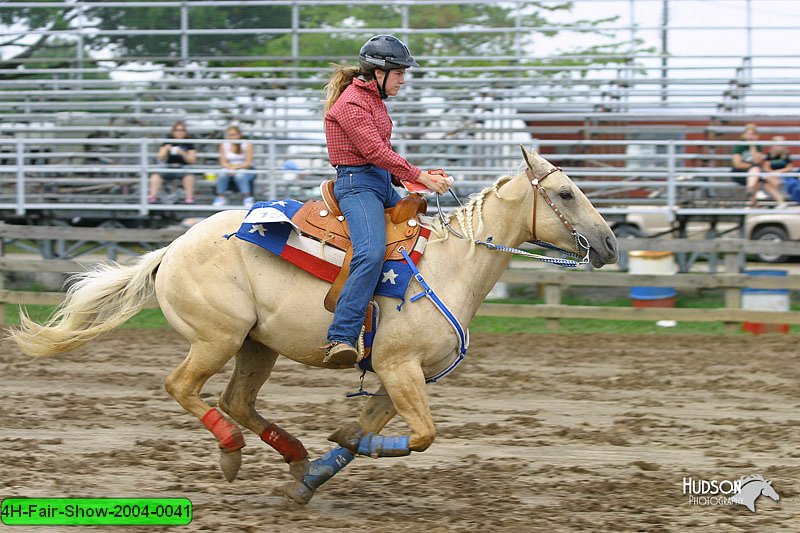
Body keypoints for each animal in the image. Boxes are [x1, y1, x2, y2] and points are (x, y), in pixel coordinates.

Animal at [7, 149, 620, 502]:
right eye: (565, 193)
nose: (611, 243)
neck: (451, 264)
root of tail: (171, 247)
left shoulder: (402, 375)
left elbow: (364, 431)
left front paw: (316, 474)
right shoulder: (399, 367)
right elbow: (422, 435)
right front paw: (355, 451)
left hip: (257, 346)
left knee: (235, 400)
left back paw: (295, 455)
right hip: (218, 338)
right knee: (183, 387)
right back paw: (232, 452)